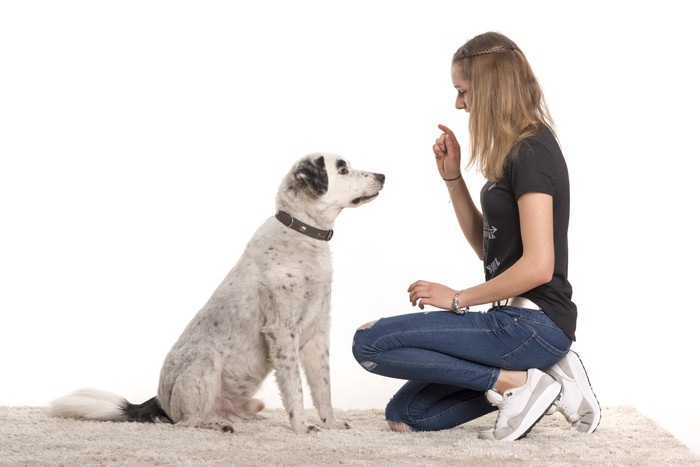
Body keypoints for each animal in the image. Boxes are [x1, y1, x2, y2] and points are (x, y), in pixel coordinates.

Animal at [51, 154, 386, 436]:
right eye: (341, 168)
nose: (383, 175)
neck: (301, 232)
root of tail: (159, 400)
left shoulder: (316, 334)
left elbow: (322, 390)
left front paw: (330, 424)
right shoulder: (282, 332)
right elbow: (296, 390)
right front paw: (302, 428)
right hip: (205, 361)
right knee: (187, 422)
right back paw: (217, 425)